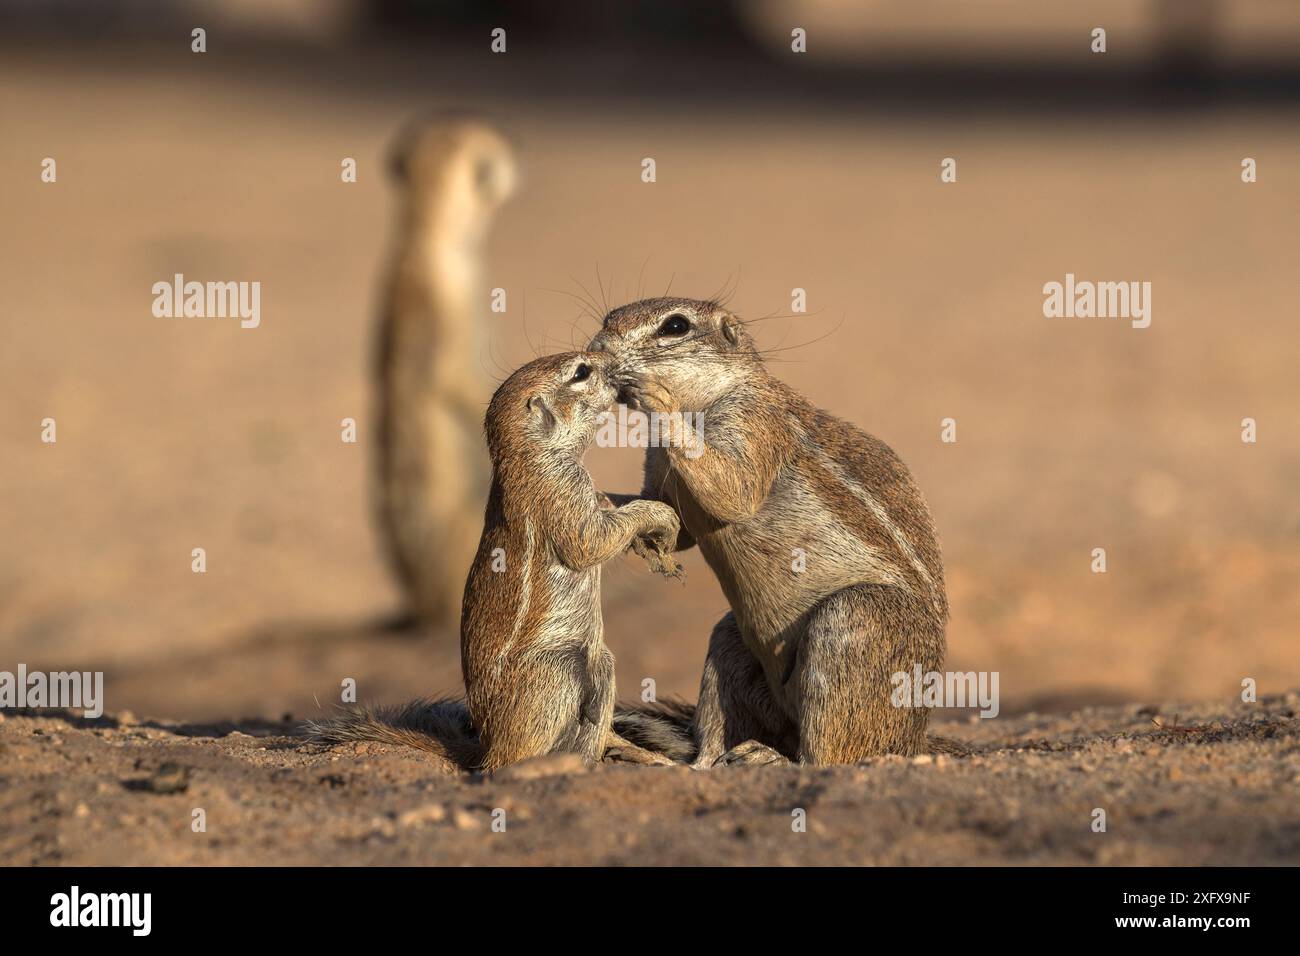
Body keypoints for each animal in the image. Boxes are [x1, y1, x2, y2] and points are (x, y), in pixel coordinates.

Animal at [587, 299, 946, 770]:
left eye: (675, 326)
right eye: (607, 319)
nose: (597, 349)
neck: (706, 398)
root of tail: (917, 738)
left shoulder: (754, 425)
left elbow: (731, 491)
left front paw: (654, 395)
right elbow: (672, 523)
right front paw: (602, 503)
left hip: (857, 620)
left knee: (824, 756)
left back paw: (769, 757)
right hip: (730, 642)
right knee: (712, 745)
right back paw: (668, 758)